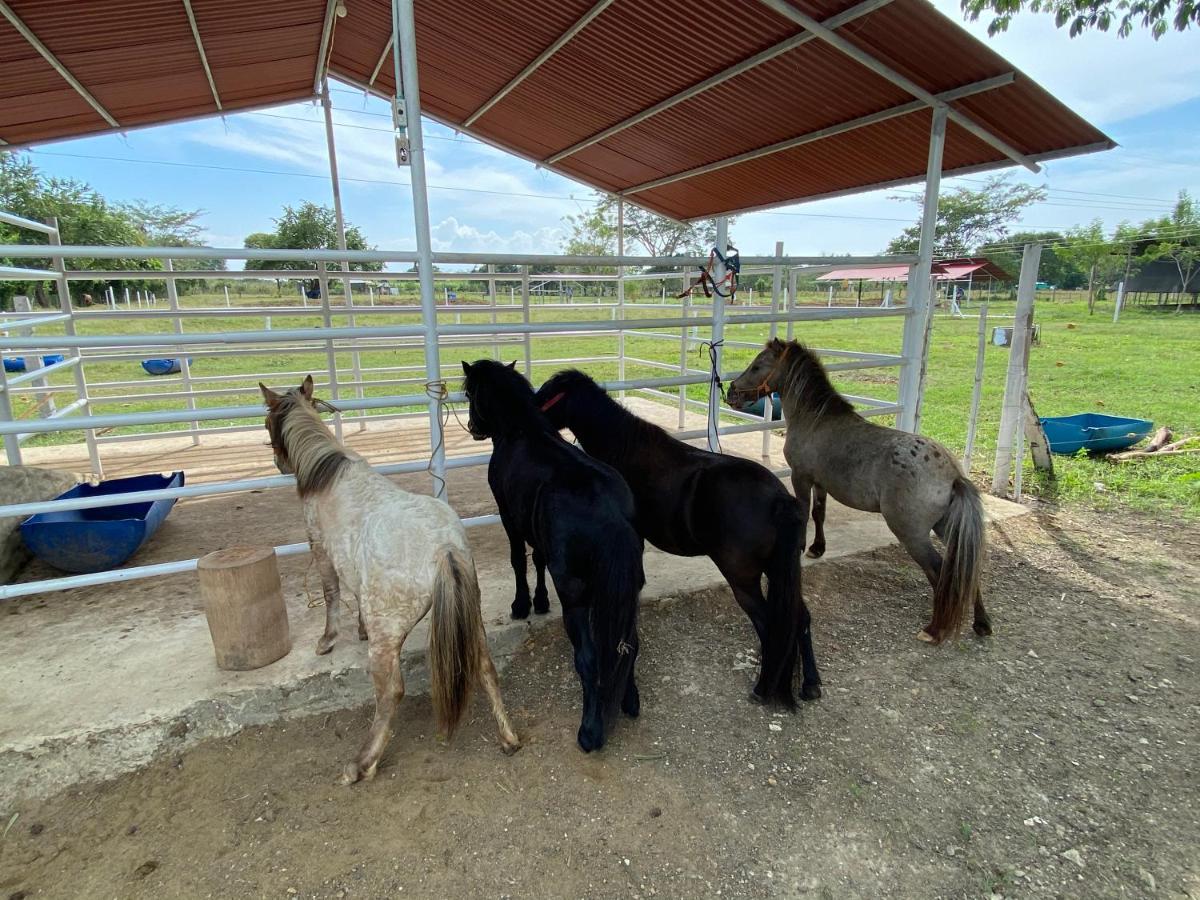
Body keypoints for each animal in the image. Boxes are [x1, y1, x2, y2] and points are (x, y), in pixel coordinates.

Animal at [460, 360, 648, 753]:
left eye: (469, 392)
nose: (473, 427)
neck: (521, 431)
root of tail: (610, 514)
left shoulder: (509, 518)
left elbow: (519, 560)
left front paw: (521, 604)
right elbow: (538, 560)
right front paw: (540, 601)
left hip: (575, 600)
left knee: (589, 660)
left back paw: (590, 731)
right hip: (627, 593)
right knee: (629, 644)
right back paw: (629, 700)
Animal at [537, 369, 825, 710]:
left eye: (548, 393)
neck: (625, 450)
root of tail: (780, 500)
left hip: (744, 579)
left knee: (770, 626)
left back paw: (763, 688)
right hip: (779, 571)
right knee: (799, 619)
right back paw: (810, 684)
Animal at [724, 340, 988, 643]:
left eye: (757, 366)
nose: (731, 392)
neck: (815, 419)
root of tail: (952, 475)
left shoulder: (801, 477)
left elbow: (804, 511)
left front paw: (802, 546)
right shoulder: (821, 483)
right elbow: (819, 514)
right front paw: (817, 548)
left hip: (913, 535)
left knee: (940, 571)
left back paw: (934, 630)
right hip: (946, 527)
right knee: (967, 570)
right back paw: (981, 623)